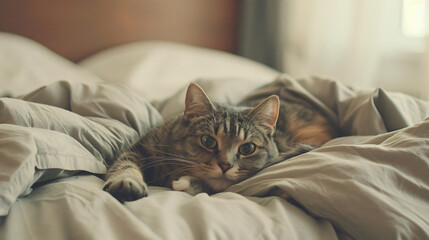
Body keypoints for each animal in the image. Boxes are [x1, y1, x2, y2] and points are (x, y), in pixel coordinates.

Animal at [102, 81, 336, 202]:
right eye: (208, 141)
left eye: (248, 148)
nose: (225, 165)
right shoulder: (139, 148)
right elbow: (125, 165)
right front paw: (127, 183)